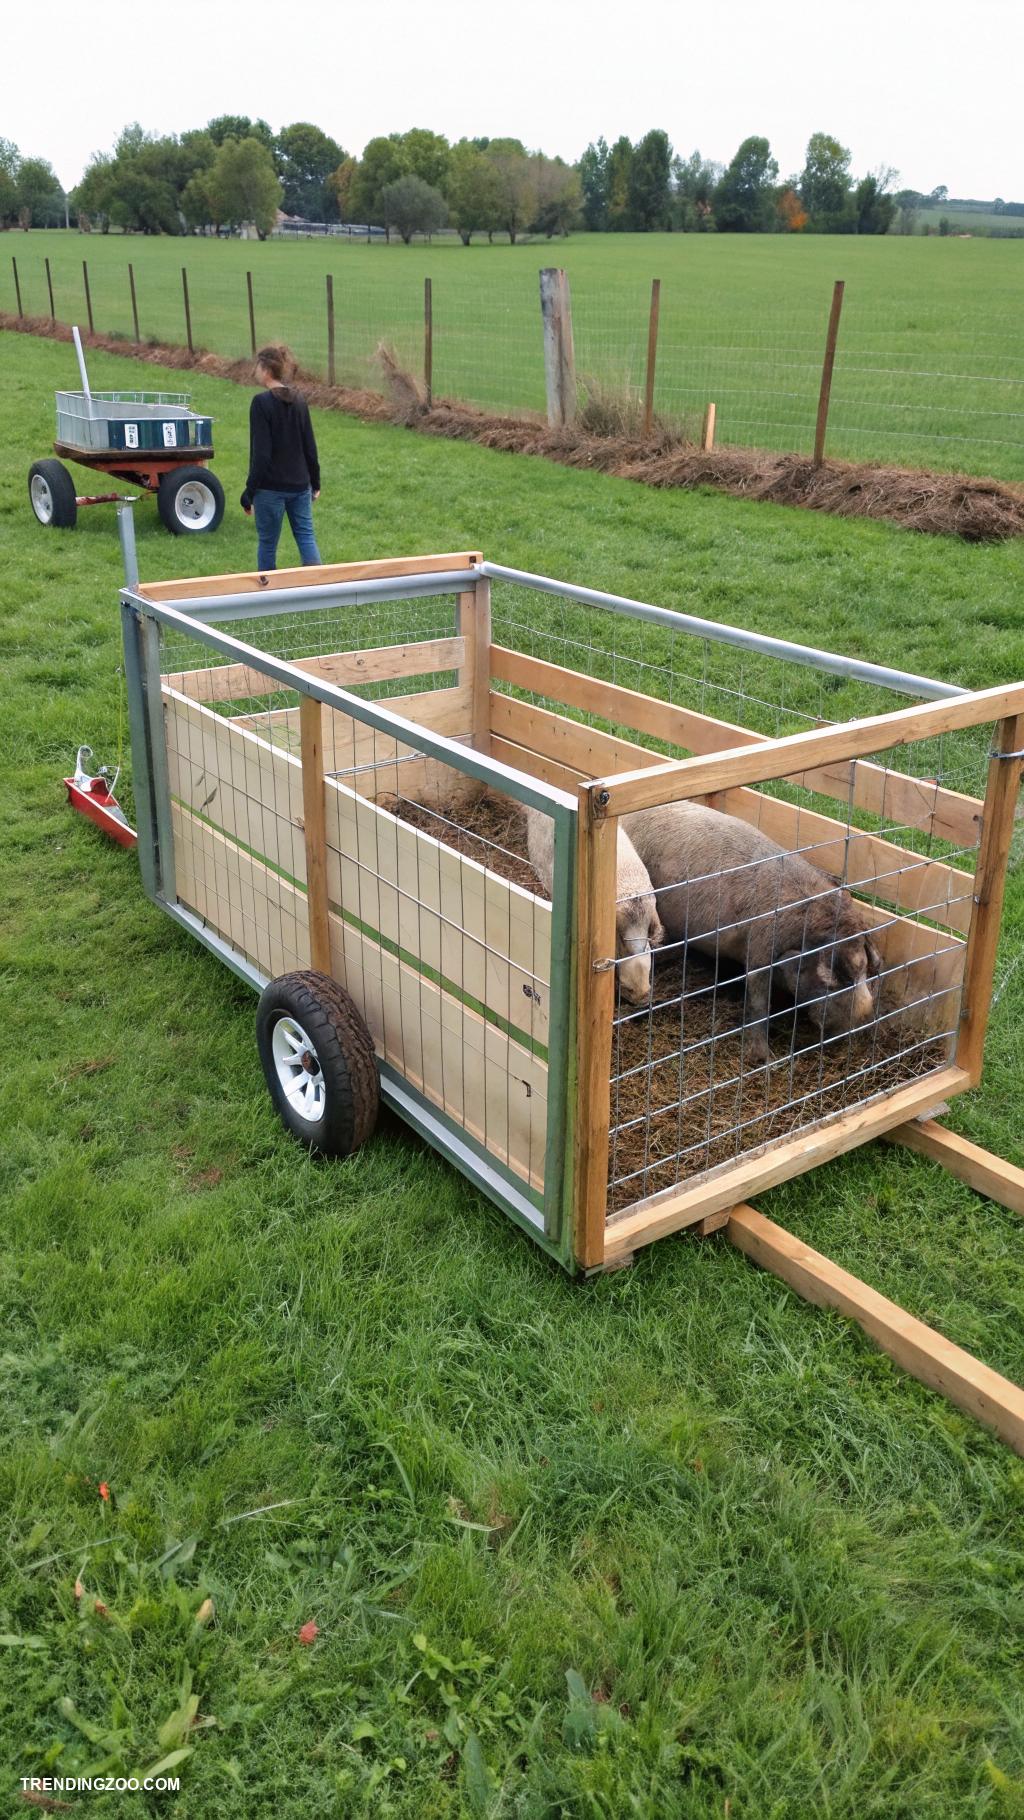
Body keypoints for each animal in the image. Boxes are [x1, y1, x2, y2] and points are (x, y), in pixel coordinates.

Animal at [622, 801, 882, 1056]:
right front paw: (764, 1058)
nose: (860, 1020)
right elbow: (758, 1001)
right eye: (830, 984)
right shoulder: (760, 946)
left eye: (864, 971)